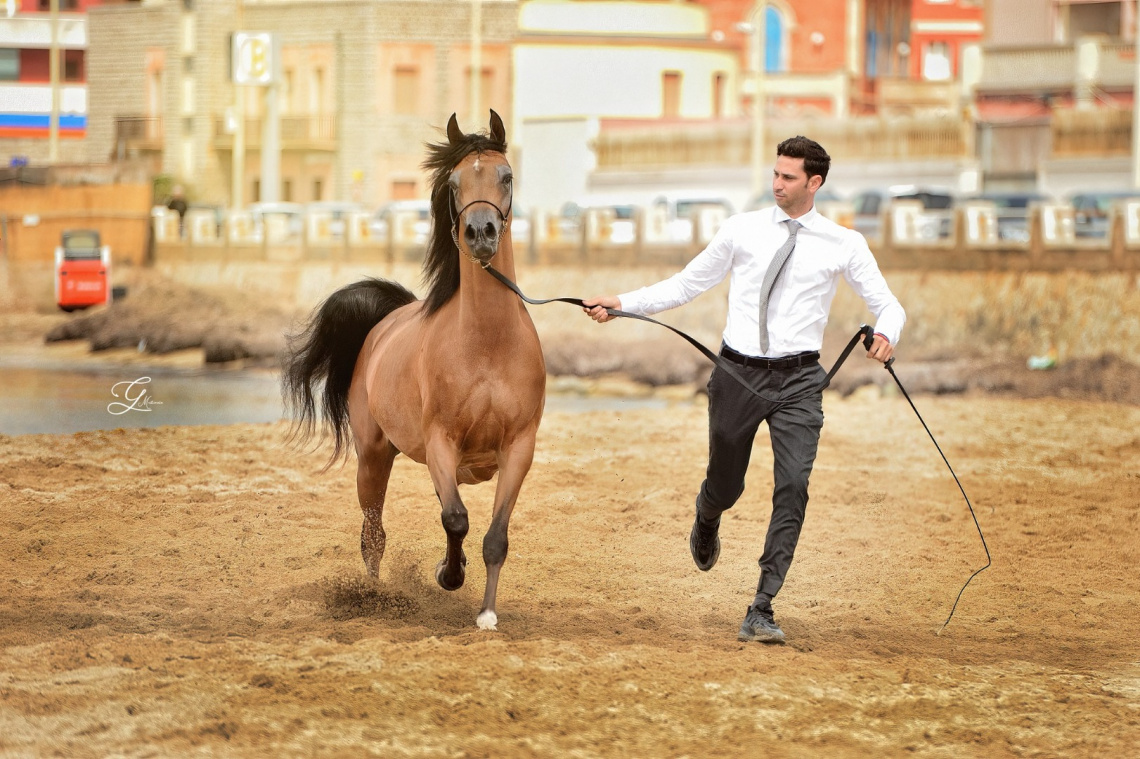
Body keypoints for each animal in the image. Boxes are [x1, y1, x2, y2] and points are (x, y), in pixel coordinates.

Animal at [283, 110, 546, 630]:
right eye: (455, 181)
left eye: (506, 176)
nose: (481, 233)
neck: (488, 344)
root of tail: (383, 324)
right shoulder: (441, 442)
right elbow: (456, 520)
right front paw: (448, 575)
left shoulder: (518, 448)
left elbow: (493, 537)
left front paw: (486, 613)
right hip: (373, 456)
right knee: (373, 534)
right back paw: (374, 596)